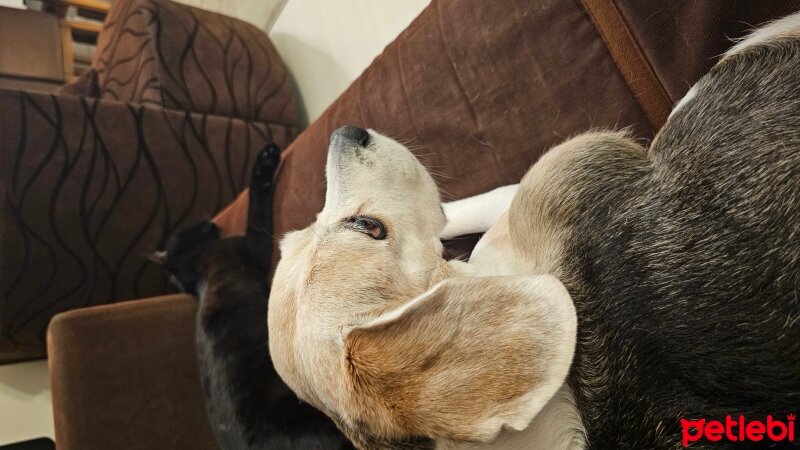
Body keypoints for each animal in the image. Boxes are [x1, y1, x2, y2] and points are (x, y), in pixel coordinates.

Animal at [155, 145, 352, 450]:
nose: (209, 221)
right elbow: (256, 212)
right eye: (193, 228)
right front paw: (264, 162)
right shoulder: (250, 246)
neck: (199, 273)